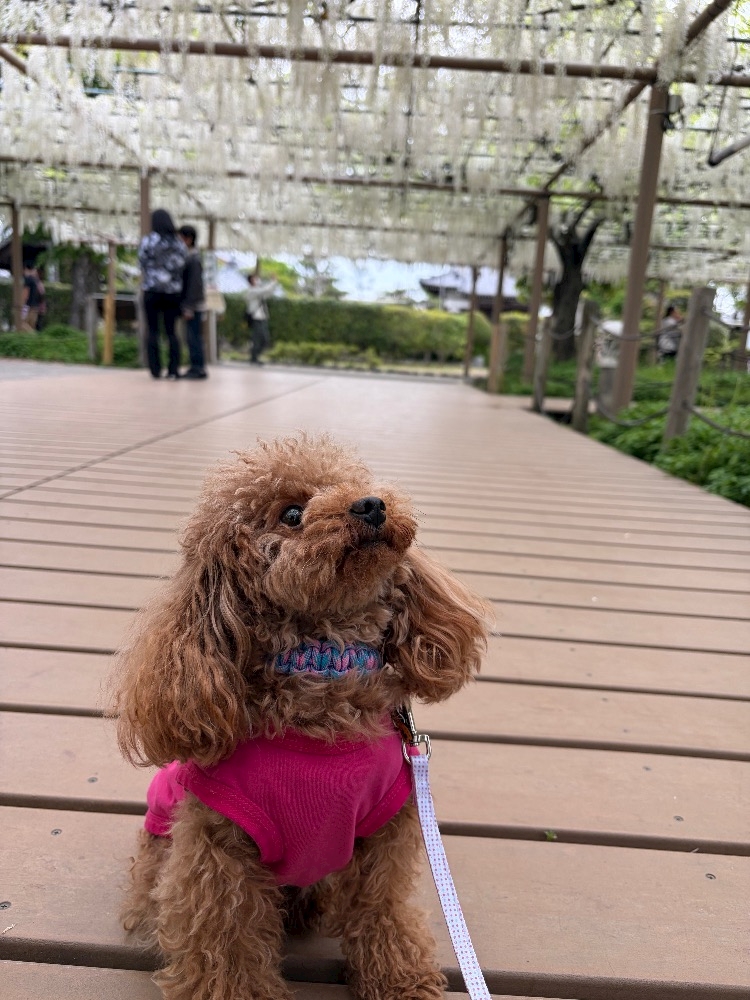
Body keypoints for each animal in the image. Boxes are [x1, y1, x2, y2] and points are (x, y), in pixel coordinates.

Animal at [113, 434, 491, 1000]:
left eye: (353, 483)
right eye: (291, 514)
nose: (371, 505)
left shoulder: (384, 835)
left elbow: (382, 913)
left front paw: (399, 980)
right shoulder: (219, 851)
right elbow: (225, 944)